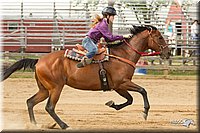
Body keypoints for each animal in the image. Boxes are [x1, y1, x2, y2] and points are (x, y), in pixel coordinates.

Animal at [1, 25, 170, 129]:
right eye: (160, 37)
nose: (168, 53)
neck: (123, 55)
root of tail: (39, 61)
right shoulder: (122, 83)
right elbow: (142, 91)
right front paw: (145, 112)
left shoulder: (118, 86)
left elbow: (130, 99)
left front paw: (112, 104)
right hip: (56, 88)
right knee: (49, 107)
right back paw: (64, 125)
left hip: (44, 89)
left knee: (30, 102)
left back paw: (35, 125)